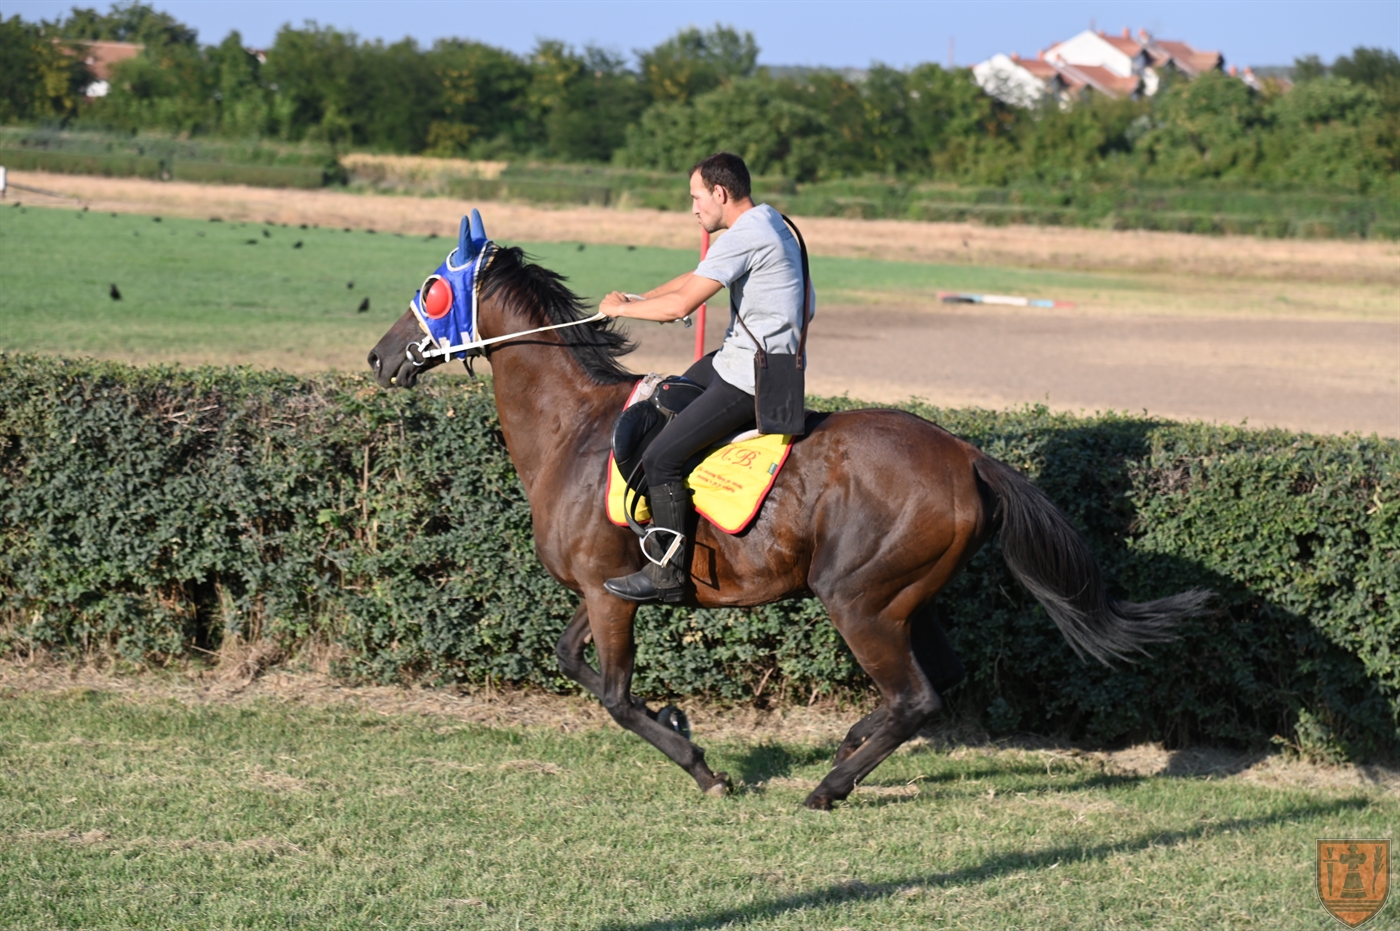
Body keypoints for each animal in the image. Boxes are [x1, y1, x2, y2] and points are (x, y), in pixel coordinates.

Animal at [367, 219, 1209, 810]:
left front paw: (702, 766)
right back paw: (848, 748)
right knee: (937, 681)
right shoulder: (603, 587)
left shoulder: (613, 596)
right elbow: (573, 662)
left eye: (434, 289)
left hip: (859, 600)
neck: (572, 431)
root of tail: (964, 454)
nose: (378, 358)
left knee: (917, 696)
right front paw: (680, 721)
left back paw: (831, 783)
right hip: (909, 597)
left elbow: (612, 693)